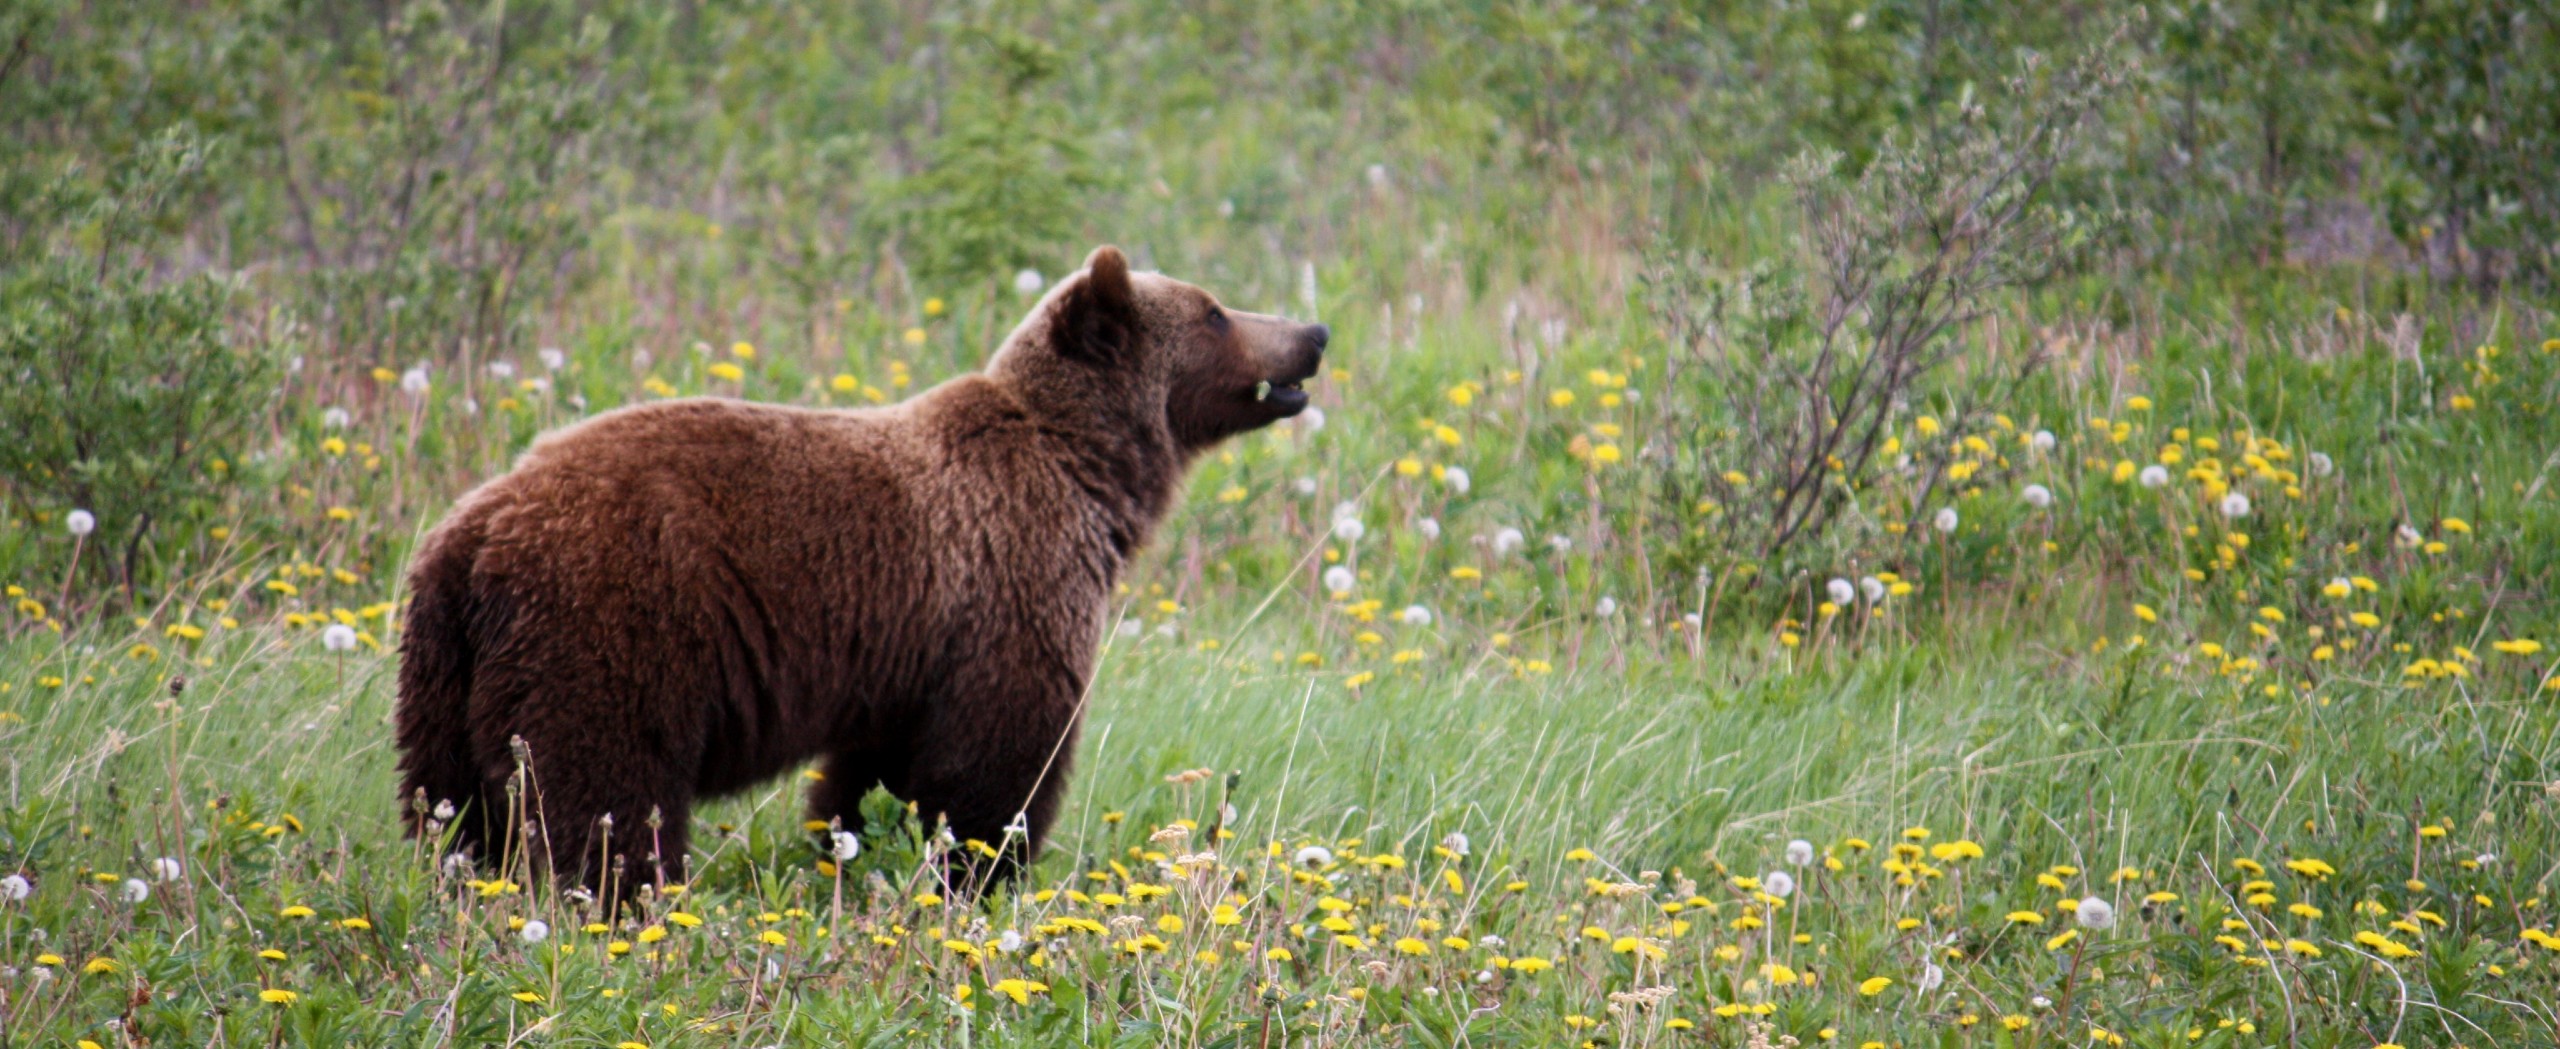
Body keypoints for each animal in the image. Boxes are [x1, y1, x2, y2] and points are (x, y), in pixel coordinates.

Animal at [399, 245, 1331, 895]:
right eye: (1215, 311)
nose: (1312, 334)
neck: (1089, 476)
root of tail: (474, 534)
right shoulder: (1010, 583)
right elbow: (995, 762)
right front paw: (982, 871)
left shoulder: (909, 648)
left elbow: (873, 773)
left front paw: (851, 851)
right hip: (611, 628)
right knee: (603, 792)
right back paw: (621, 898)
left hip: (445, 672)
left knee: (450, 808)